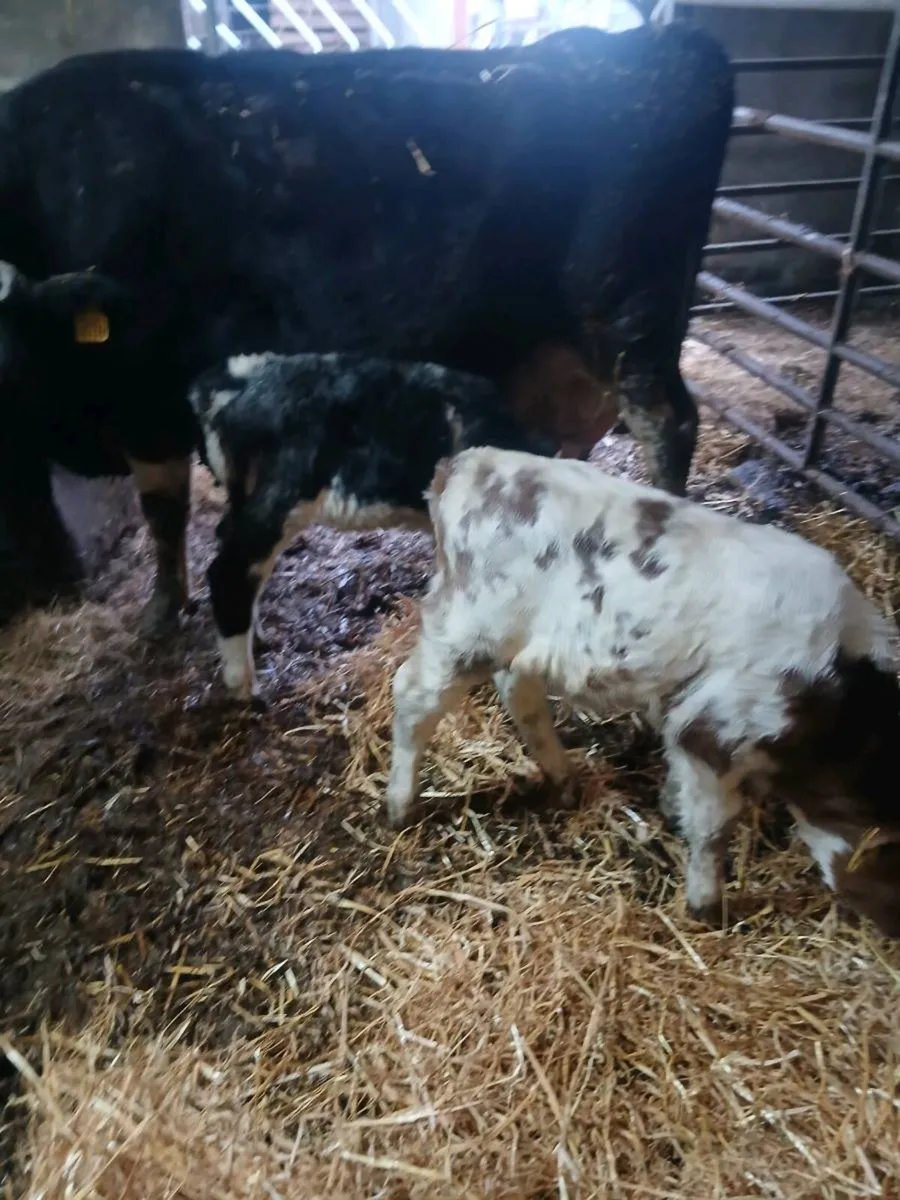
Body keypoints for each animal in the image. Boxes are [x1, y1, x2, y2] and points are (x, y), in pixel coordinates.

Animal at [0, 24, 734, 631]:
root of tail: (666, 41)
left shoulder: (144, 393)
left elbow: (162, 510)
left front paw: (158, 614)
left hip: (629, 313)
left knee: (667, 424)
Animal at [385, 447, 900, 939]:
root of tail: (466, 463)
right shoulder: (714, 731)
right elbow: (714, 829)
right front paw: (706, 906)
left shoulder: (683, 708)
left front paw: (672, 809)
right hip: (470, 626)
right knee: (415, 694)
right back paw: (399, 806)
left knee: (518, 692)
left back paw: (563, 780)